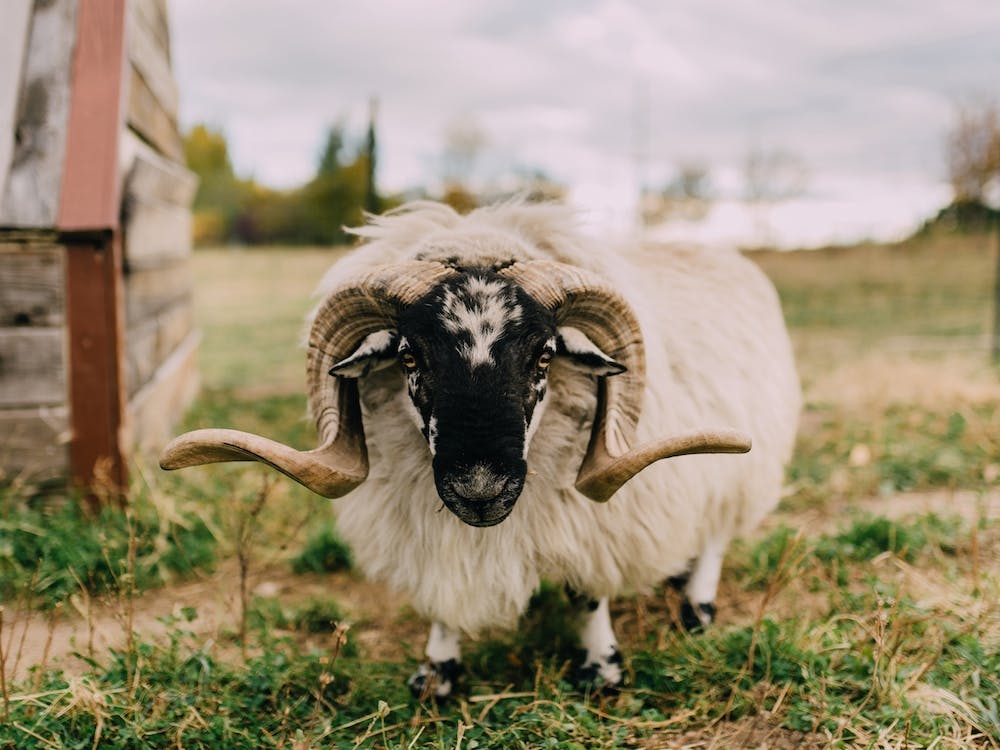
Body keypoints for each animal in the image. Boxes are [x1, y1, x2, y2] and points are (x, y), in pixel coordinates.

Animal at [161, 200, 801, 697]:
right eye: (408, 356)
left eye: (545, 355)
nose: (480, 491)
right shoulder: (431, 527)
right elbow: (444, 592)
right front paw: (438, 672)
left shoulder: (594, 519)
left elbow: (585, 592)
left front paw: (602, 669)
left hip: (743, 463)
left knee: (716, 531)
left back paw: (697, 605)